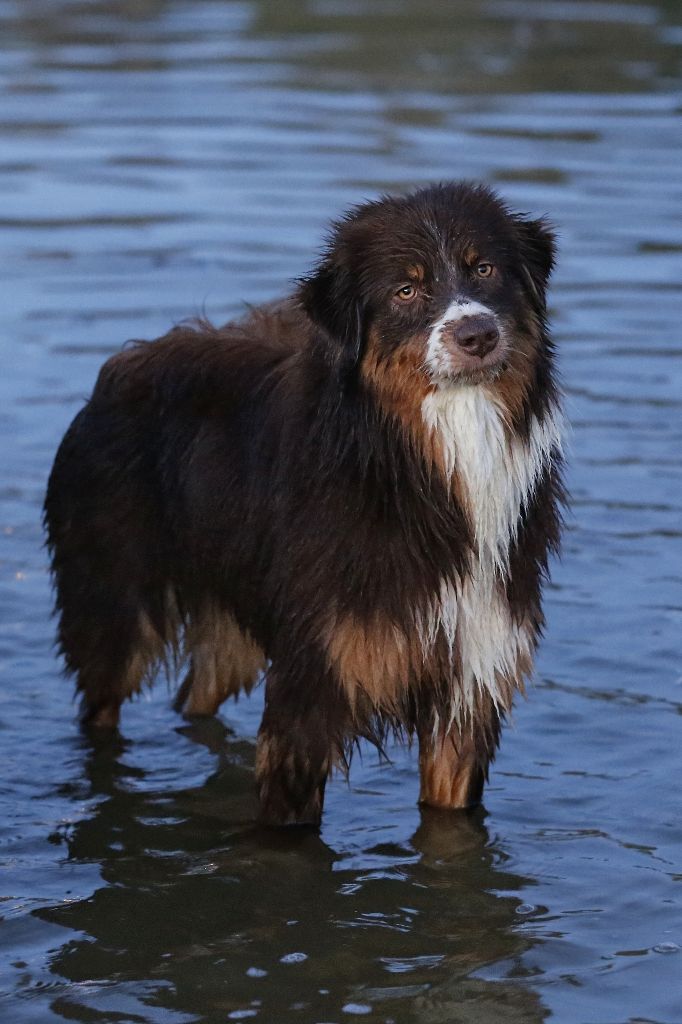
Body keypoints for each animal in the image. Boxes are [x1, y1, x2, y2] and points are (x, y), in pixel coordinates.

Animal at [44, 182, 565, 827]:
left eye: (485, 269)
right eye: (406, 290)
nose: (477, 335)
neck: (422, 457)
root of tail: (114, 375)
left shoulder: (470, 686)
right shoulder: (315, 682)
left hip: (233, 625)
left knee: (195, 696)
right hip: (112, 611)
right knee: (101, 705)